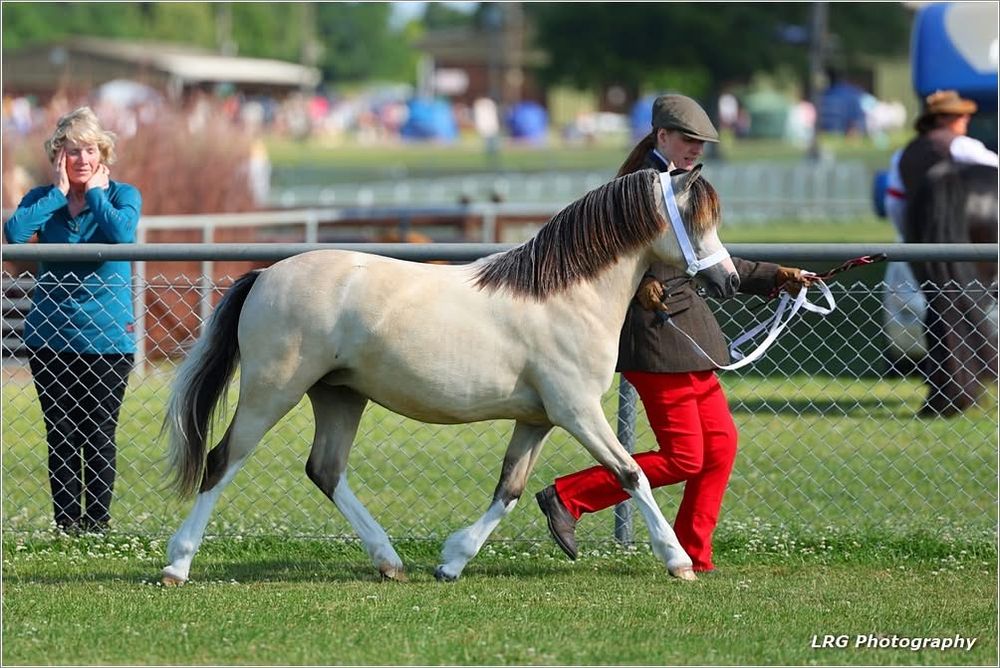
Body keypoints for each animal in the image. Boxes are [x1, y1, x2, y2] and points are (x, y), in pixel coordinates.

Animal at [160, 166, 739, 585]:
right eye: (697, 219)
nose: (729, 280)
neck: (565, 296)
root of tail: (263, 276)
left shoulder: (538, 419)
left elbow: (509, 489)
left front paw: (452, 561)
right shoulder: (577, 412)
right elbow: (631, 474)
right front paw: (678, 560)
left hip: (339, 396)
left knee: (325, 471)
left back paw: (389, 561)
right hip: (272, 391)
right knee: (221, 462)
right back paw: (176, 565)